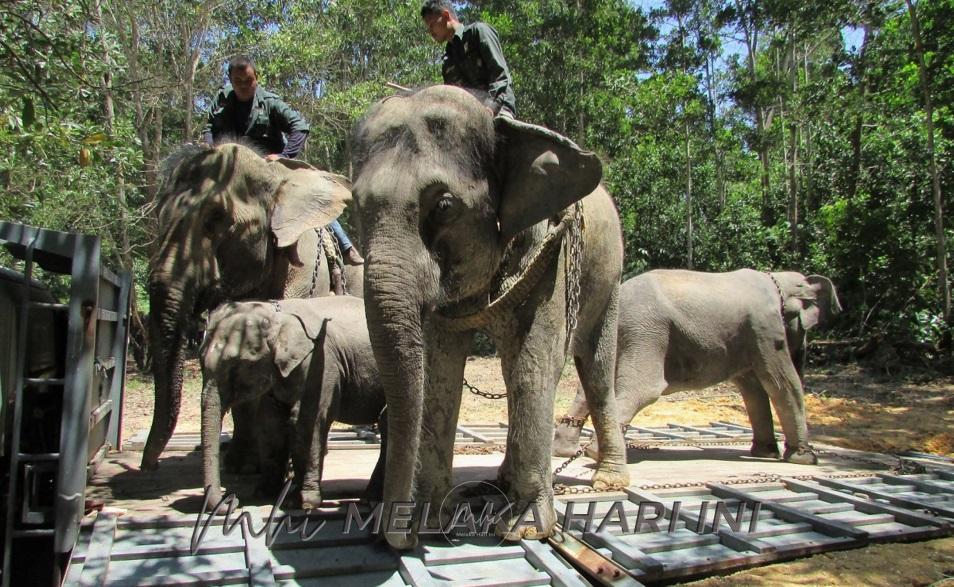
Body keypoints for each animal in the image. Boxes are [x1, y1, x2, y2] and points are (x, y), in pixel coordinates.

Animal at [200, 296, 384, 508]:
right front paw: (264, 494)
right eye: (200, 359)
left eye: (239, 365)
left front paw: (303, 503)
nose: (232, 500)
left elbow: (307, 421)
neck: (277, 314)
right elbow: (270, 424)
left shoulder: (320, 363)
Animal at [350, 85, 632, 548]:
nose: (398, 535)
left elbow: (534, 368)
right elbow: (439, 373)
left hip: (609, 277)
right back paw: (500, 483)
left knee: (593, 370)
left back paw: (608, 482)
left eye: (444, 206)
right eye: (356, 205)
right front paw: (431, 521)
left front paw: (526, 529)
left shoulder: (550, 254)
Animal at [552, 268, 840, 466]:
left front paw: (765, 453)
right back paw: (595, 453)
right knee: (643, 389)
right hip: (647, 333)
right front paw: (805, 459)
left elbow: (753, 389)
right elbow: (781, 382)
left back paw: (569, 451)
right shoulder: (765, 328)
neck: (777, 278)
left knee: (593, 387)